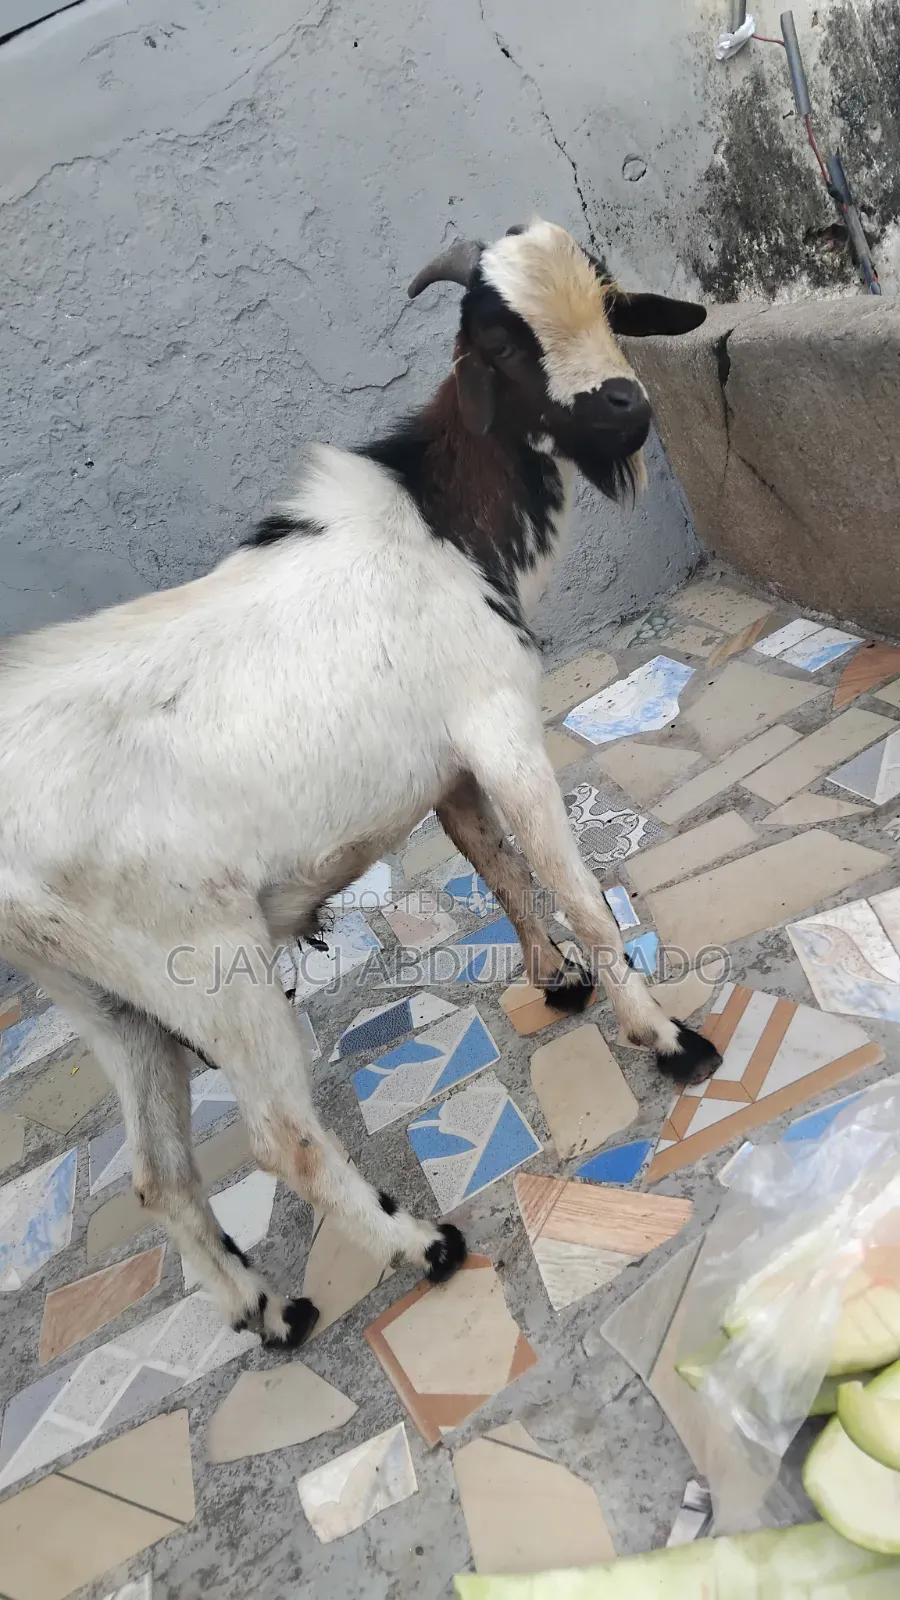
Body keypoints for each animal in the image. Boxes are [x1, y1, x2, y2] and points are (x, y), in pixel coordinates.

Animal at [0, 218, 719, 1345]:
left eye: (608, 302)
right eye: (499, 342)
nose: (623, 405)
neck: (439, 523)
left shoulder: (447, 763)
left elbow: (495, 864)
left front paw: (553, 981)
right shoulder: (498, 725)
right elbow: (574, 886)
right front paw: (665, 1036)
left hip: (106, 999)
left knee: (160, 1176)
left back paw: (271, 1312)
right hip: (204, 961)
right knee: (277, 1134)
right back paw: (424, 1248)